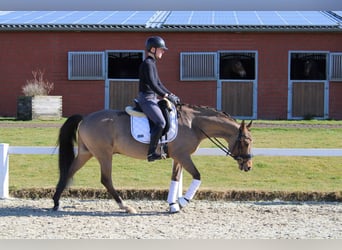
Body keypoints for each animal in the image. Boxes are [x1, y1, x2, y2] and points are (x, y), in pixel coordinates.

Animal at [52, 103, 252, 213]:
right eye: (246, 142)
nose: (248, 166)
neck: (193, 124)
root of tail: (86, 118)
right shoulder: (183, 156)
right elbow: (197, 176)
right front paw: (182, 202)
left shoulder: (178, 157)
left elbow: (175, 179)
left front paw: (173, 205)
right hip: (104, 154)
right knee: (106, 179)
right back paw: (125, 207)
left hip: (86, 153)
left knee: (68, 172)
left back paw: (56, 202)